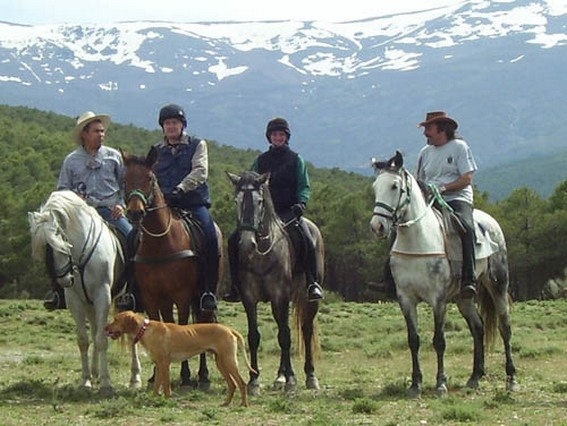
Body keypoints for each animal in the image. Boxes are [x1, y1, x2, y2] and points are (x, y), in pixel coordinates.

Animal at [28, 190, 142, 392]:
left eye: (58, 244)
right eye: (43, 250)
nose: (64, 280)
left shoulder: (102, 296)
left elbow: (102, 339)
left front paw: (106, 383)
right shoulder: (76, 301)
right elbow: (84, 340)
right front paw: (86, 381)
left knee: (131, 334)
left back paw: (134, 378)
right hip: (89, 305)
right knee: (95, 330)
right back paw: (95, 373)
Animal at [106, 310, 255, 406]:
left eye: (116, 319)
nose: (105, 328)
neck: (145, 329)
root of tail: (229, 329)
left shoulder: (165, 364)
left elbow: (166, 386)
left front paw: (167, 401)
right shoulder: (158, 365)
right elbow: (156, 387)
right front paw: (154, 400)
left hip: (228, 361)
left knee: (241, 383)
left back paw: (243, 404)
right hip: (221, 362)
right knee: (232, 384)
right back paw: (226, 403)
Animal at [122, 150, 222, 390]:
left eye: (150, 178)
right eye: (125, 180)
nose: (135, 212)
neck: (161, 243)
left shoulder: (182, 295)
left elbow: (183, 326)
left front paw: (185, 375)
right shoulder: (151, 297)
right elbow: (156, 325)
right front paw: (155, 375)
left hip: (203, 296)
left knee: (202, 322)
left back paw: (203, 376)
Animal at [226, 171, 324, 396]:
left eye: (260, 201)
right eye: (236, 201)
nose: (247, 243)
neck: (261, 253)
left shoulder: (281, 296)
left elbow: (286, 336)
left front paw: (292, 380)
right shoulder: (249, 298)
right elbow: (254, 337)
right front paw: (254, 381)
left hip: (308, 299)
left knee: (305, 330)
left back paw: (309, 376)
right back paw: (280, 376)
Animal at [368, 151, 520, 398]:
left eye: (394, 186)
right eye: (375, 187)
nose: (378, 226)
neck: (419, 242)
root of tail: (491, 222)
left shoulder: (438, 299)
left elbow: (439, 340)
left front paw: (440, 384)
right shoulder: (405, 299)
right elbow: (414, 340)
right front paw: (415, 385)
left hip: (498, 284)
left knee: (504, 327)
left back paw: (512, 379)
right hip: (463, 297)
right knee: (478, 328)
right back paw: (475, 377)